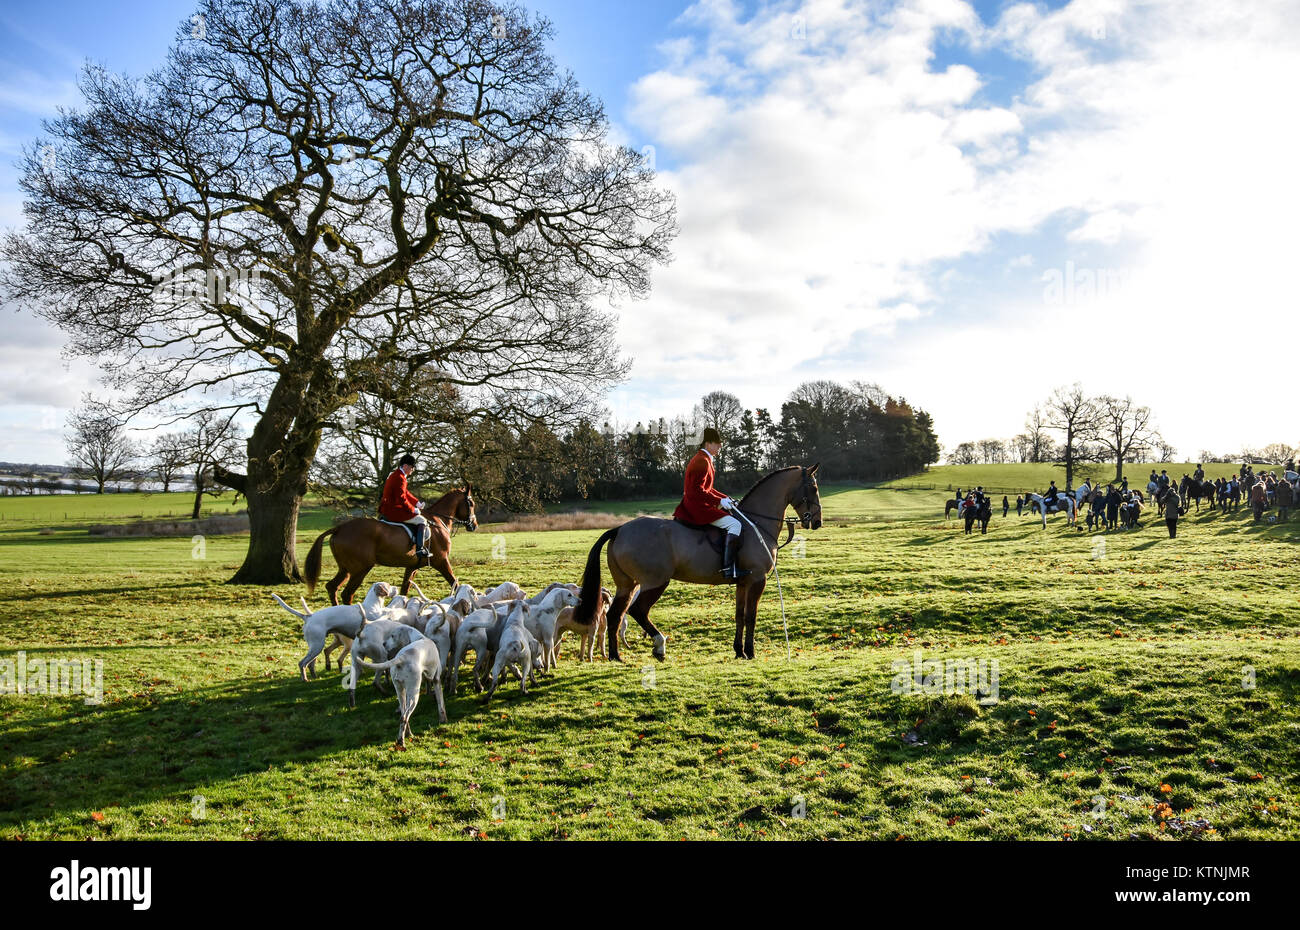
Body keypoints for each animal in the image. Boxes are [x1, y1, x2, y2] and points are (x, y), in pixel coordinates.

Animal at [302, 483, 478, 608]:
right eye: (471, 503)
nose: (474, 525)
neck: (438, 521)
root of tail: (340, 528)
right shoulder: (441, 561)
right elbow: (456, 584)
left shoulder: (411, 567)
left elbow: (404, 590)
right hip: (360, 569)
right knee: (347, 594)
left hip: (345, 569)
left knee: (332, 587)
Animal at [572, 465, 821, 663]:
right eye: (814, 488)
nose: (817, 521)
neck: (757, 523)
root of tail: (620, 529)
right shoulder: (757, 579)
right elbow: (751, 616)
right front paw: (750, 652)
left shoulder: (742, 582)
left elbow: (739, 615)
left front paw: (739, 651)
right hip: (655, 582)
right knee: (637, 610)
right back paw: (659, 646)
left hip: (627, 585)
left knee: (615, 615)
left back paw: (616, 656)